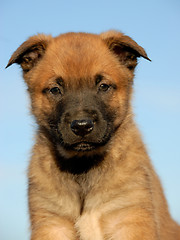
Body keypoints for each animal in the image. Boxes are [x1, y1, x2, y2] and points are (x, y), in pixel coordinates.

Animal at [6, 31, 179, 239]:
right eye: (55, 89)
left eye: (103, 86)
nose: (82, 126)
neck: (83, 167)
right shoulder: (52, 224)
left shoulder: (129, 218)